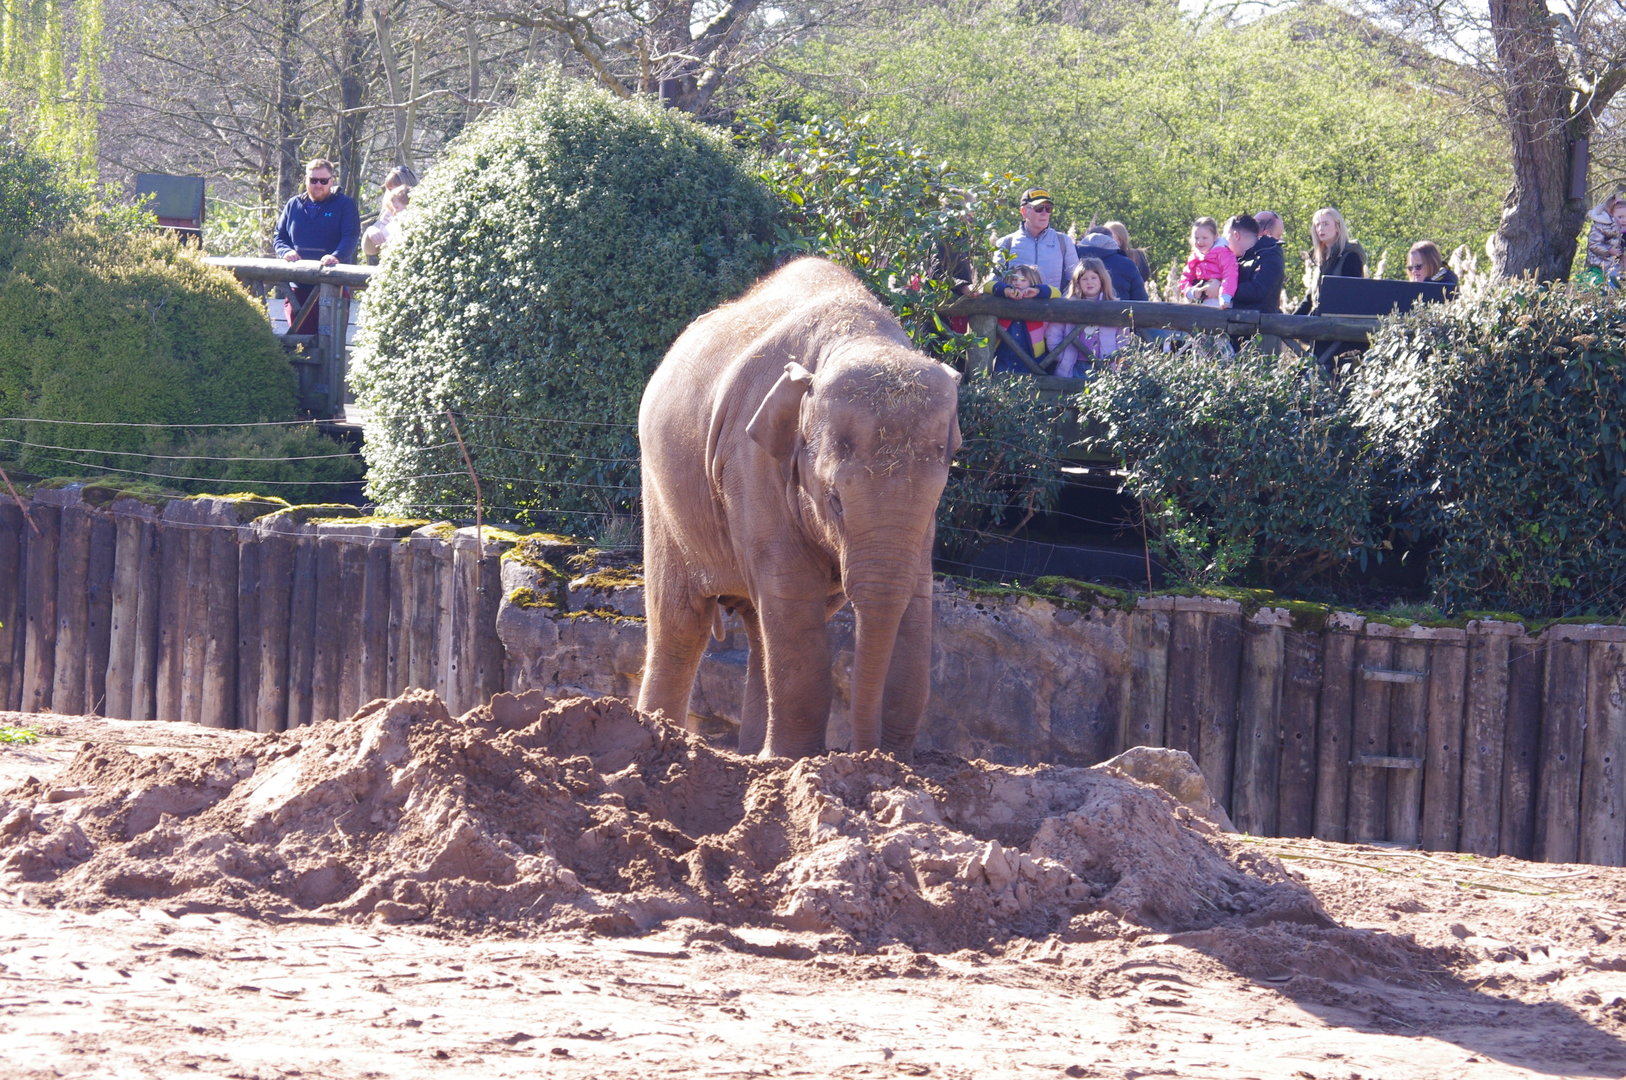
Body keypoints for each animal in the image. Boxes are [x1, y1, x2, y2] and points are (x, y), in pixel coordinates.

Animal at [636, 257, 962, 758]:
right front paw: (801, 760)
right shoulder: (750, 458)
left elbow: (915, 601)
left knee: (759, 628)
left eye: (937, 499)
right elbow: (791, 588)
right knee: (681, 624)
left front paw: (894, 761)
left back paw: (755, 754)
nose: (868, 754)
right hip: (662, 494)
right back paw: (658, 736)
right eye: (834, 500)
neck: (858, 336)